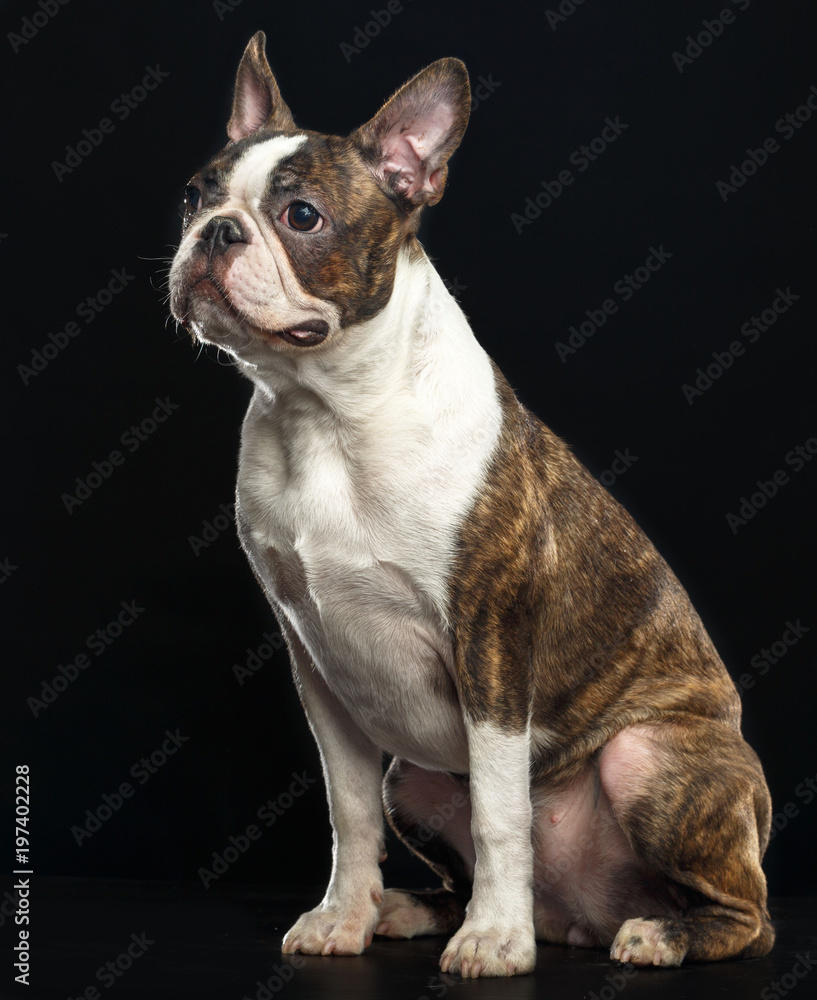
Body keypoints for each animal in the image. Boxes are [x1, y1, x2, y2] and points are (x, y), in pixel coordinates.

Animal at [169, 29, 776, 976]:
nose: (213, 232)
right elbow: (348, 813)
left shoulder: (490, 645)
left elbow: (498, 811)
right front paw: (342, 916)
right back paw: (412, 911)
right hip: (412, 776)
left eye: (301, 216)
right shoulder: (318, 666)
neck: (327, 414)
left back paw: (657, 932)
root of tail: (581, 913)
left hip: (648, 757)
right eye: (193, 197)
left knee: (748, 913)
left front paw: (494, 939)